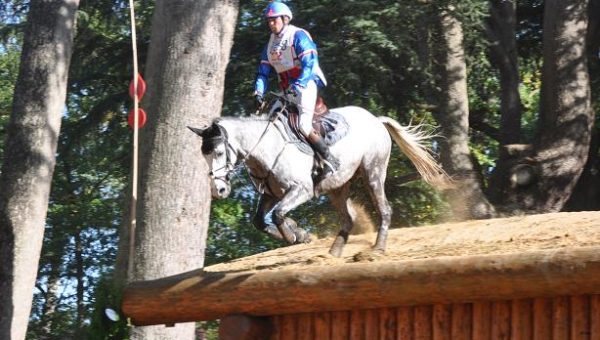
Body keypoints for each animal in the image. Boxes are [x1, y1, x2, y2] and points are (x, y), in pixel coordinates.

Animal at [190, 97, 448, 256]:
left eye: (219, 152)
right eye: (204, 156)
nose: (218, 191)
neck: (267, 147)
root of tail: (376, 119)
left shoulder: (301, 190)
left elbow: (280, 214)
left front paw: (298, 235)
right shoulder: (271, 194)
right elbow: (260, 221)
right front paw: (297, 234)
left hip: (373, 173)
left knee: (384, 209)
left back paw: (377, 248)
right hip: (338, 187)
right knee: (348, 218)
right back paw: (334, 252)